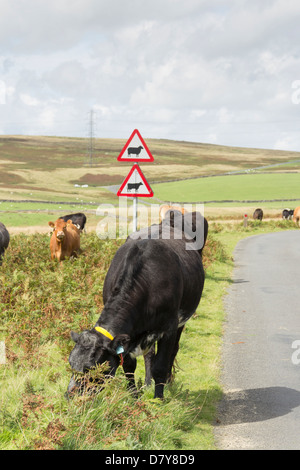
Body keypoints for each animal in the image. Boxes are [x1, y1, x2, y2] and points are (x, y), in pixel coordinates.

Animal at [66, 213, 207, 400]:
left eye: (91, 367)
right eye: (70, 362)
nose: (70, 395)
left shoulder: (169, 327)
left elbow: (161, 366)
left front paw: (158, 399)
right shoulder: (129, 335)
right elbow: (129, 366)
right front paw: (134, 396)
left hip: (180, 322)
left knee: (173, 351)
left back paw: (168, 383)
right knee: (149, 354)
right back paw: (147, 383)